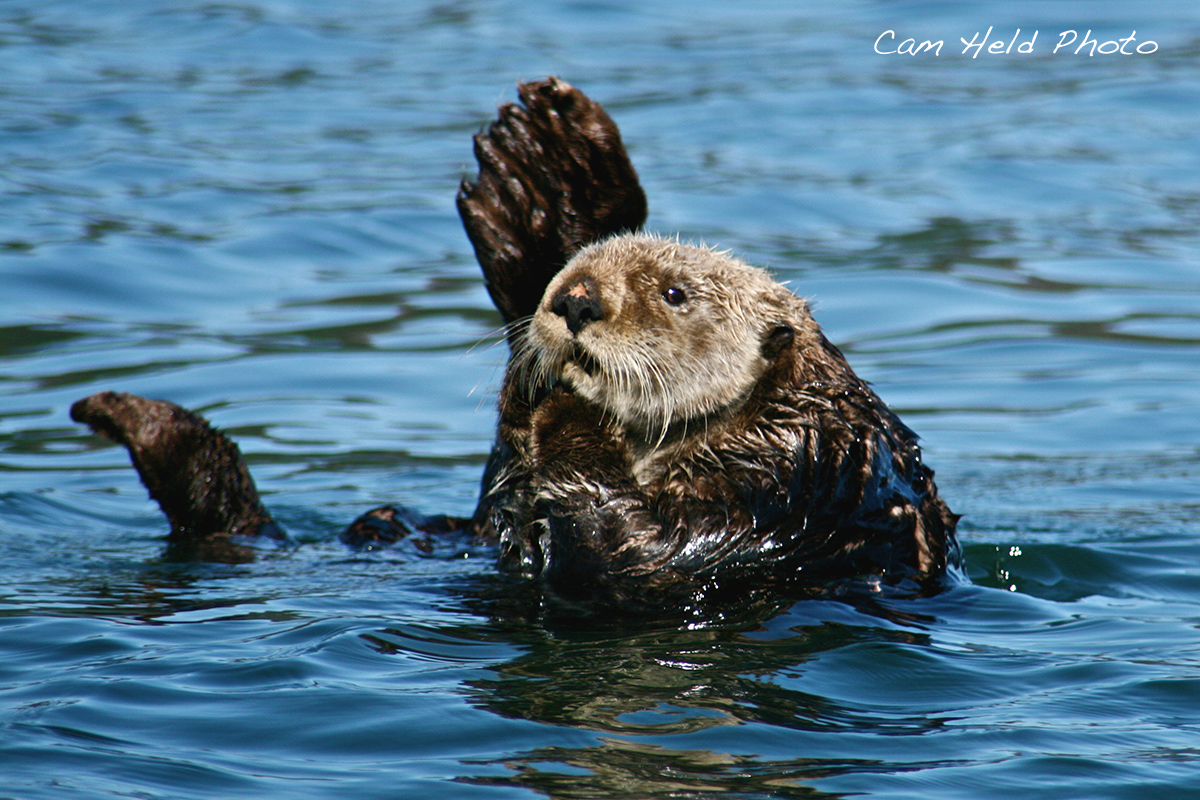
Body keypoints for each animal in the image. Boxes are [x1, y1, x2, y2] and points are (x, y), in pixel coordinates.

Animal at [71, 78, 959, 611]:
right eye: (570, 281)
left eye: (674, 293)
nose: (573, 298)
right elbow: (509, 501)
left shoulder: (780, 485)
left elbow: (639, 550)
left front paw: (569, 410)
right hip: (401, 530)